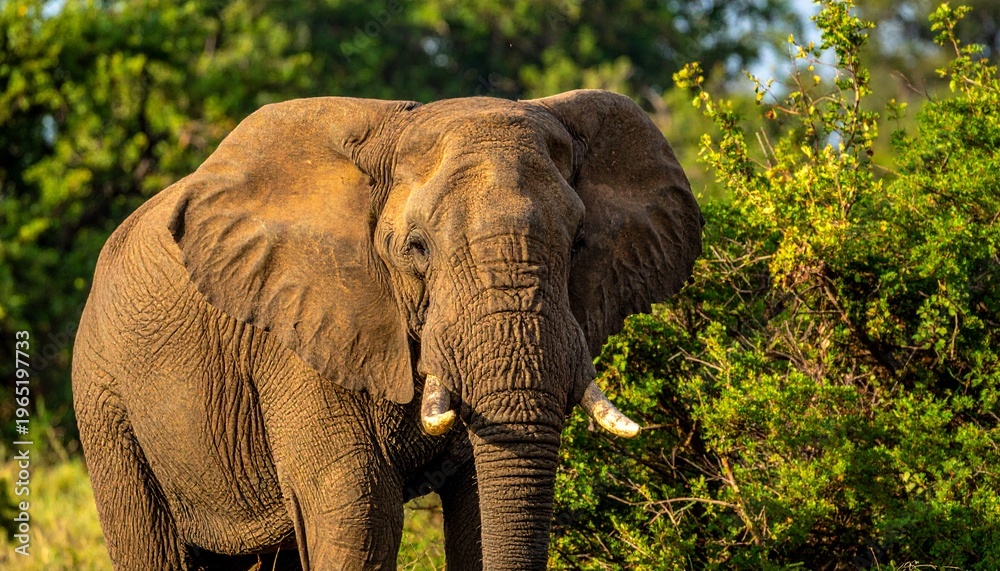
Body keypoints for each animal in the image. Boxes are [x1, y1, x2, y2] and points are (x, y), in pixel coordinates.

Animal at [72, 89, 702, 570]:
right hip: (104, 399)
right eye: (416, 248)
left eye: (577, 244)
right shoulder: (300, 333)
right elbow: (358, 509)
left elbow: (477, 509)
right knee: (149, 543)